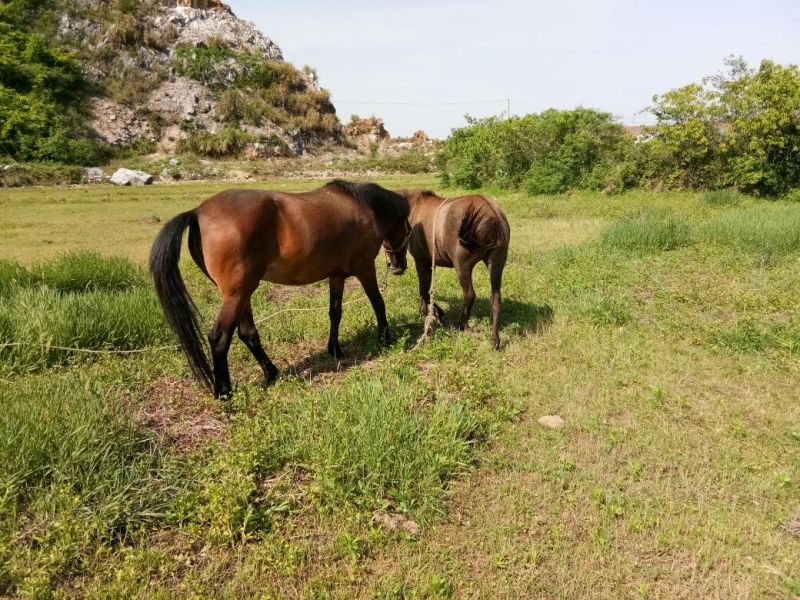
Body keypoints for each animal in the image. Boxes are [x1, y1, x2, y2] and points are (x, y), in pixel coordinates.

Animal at [149, 180, 411, 398]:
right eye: (407, 230)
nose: (399, 267)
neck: (362, 209)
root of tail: (198, 212)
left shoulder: (336, 276)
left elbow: (335, 313)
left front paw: (335, 349)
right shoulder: (365, 268)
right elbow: (378, 303)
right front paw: (385, 338)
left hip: (242, 293)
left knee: (248, 334)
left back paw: (272, 373)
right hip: (237, 294)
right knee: (219, 338)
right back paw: (224, 391)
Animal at [392, 190, 510, 349]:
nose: (396, 268)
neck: (416, 207)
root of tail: (492, 214)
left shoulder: (421, 261)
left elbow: (424, 290)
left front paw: (437, 313)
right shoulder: (429, 262)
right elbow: (427, 289)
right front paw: (426, 311)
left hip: (463, 267)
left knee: (469, 294)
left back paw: (462, 324)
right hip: (496, 265)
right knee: (495, 298)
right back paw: (495, 339)